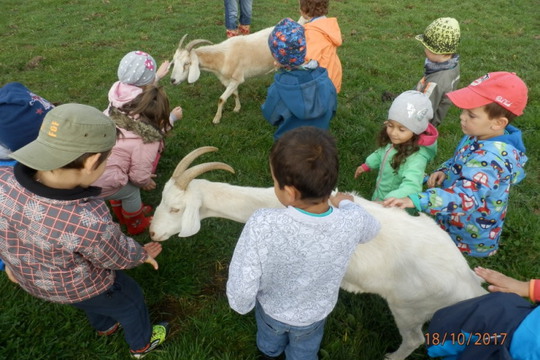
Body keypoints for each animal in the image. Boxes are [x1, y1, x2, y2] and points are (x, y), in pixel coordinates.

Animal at [150, 147, 488, 360]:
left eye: (176, 208)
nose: (152, 234)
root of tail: (469, 285)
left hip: (409, 308)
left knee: (414, 339)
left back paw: (391, 356)